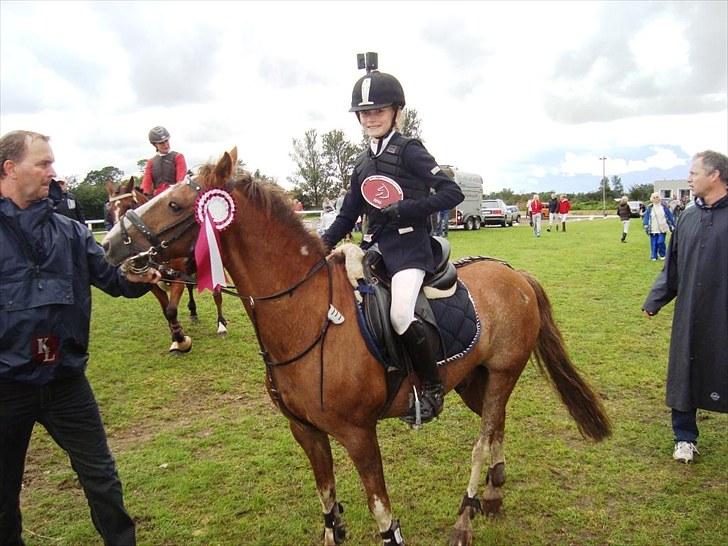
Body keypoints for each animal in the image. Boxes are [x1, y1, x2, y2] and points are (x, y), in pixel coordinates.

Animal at [105, 176, 228, 350]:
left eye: (129, 205)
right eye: (109, 212)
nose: (113, 248)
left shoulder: (177, 277)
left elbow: (171, 310)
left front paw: (179, 338)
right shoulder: (151, 283)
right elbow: (165, 310)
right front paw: (175, 334)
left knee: (217, 293)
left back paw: (221, 325)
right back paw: (193, 312)